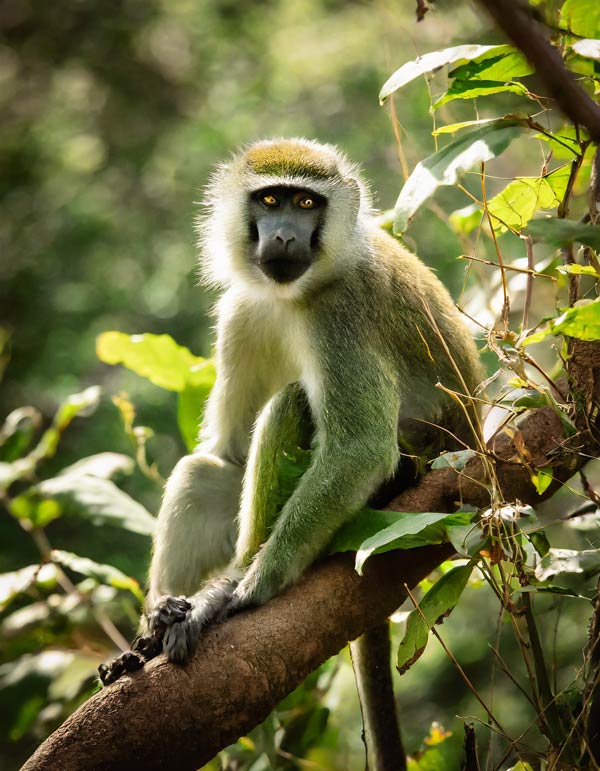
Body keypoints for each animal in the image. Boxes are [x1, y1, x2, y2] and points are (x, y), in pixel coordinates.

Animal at [98, 139, 482, 764]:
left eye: (306, 203)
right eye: (270, 200)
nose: (281, 236)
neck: (298, 291)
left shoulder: (341, 312)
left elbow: (358, 450)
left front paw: (246, 588)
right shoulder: (242, 310)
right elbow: (227, 454)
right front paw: (162, 613)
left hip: (405, 479)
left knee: (295, 403)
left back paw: (221, 589)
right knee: (204, 470)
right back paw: (156, 631)